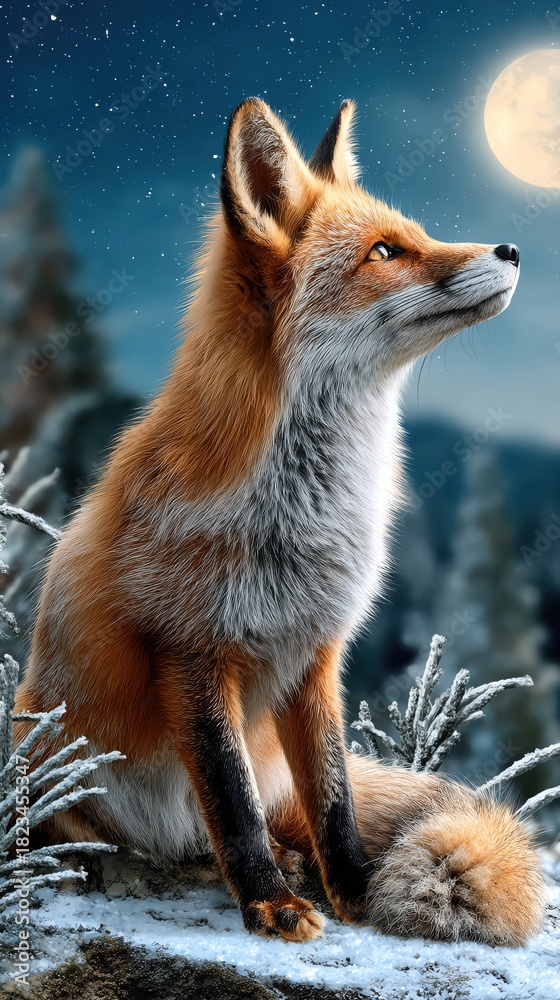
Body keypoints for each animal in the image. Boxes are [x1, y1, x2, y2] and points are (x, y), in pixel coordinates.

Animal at [13, 98, 545, 946]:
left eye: (417, 232)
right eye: (385, 252)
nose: (514, 248)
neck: (303, 520)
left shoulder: (317, 653)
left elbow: (334, 798)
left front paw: (354, 892)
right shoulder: (192, 653)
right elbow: (231, 802)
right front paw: (268, 903)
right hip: (34, 738)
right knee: (80, 830)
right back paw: (111, 864)